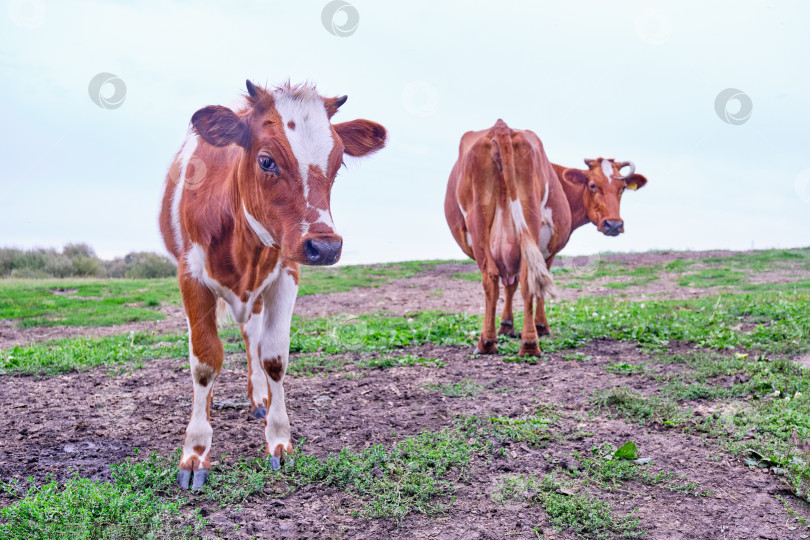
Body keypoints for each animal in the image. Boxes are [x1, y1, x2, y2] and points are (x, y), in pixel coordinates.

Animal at [159, 79, 386, 490]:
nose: (325, 246)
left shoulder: (286, 274)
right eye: (266, 160)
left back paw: (260, 400)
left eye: (339, 163)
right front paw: (195, 452)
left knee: (253, 337)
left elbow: (274, 358)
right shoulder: (190, 276)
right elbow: (205, 362)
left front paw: (279, 440)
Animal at [442, 121, 644, 358]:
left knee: (495, 278)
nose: (614, 225)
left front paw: (507, 325)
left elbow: (512, 283)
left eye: (623, 188)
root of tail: (501, 127)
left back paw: (495, 342)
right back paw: (524, 343)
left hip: (482, 224)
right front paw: (537, 326)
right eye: (593, 185)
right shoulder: (549, 249)